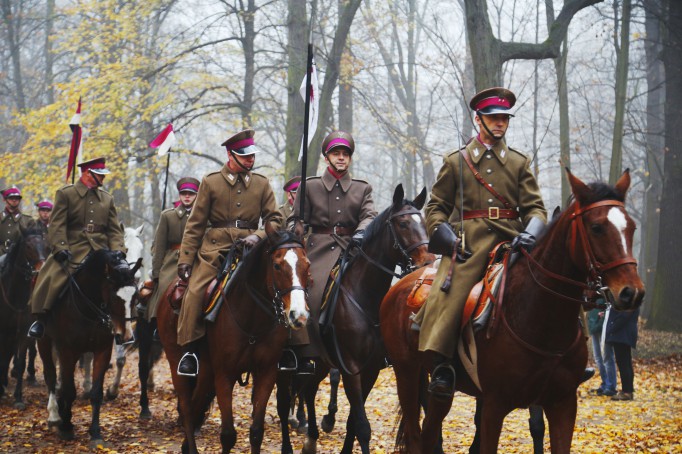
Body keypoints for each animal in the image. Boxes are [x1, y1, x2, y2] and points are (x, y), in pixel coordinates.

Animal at [0, 227, 46, 408]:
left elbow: (20, 362)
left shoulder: (22, 333)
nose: (41, 269)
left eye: (45, 245)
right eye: (28, 246)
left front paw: (18, 397)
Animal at [37, 247, 141, 446]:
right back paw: (54, 415)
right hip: (44, 341)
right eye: (114, 295)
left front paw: (95, 432)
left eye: (135, 296)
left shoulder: (102, 350)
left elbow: (96, 393)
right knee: (51, 375)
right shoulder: (67, 350)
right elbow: (69, 390)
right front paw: (66, 426)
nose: (125, 336)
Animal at [276, 184, 430, 454]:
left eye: (422, 221)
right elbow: (362, 426)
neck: (364, 297)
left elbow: (353, 422)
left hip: (321, 359)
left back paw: (311, 436)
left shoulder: (370, 369)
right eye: (402, 224)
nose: (427, 261)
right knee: (286, 402)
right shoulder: (350, 368)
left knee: (310, 390)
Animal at [380, 168, 644, 452]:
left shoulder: (562, 404)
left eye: (632, 227)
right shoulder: (494, 405)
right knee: (416, 435)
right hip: (406, 373)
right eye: (596, 228)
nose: (631, 292)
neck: (541, 317)